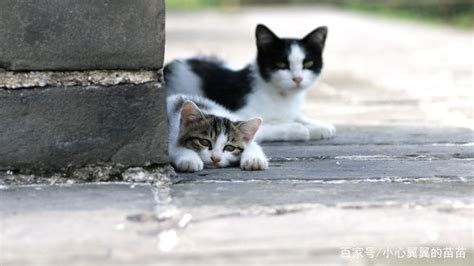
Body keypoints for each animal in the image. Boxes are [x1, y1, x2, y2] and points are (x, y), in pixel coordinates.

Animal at [165, 23, 336, 142]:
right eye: (281, 64)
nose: (298, 79)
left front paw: (319, 127)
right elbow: (262, 127)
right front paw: (299, 129)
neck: (281, 96)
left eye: (308, 63)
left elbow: (295, 116)